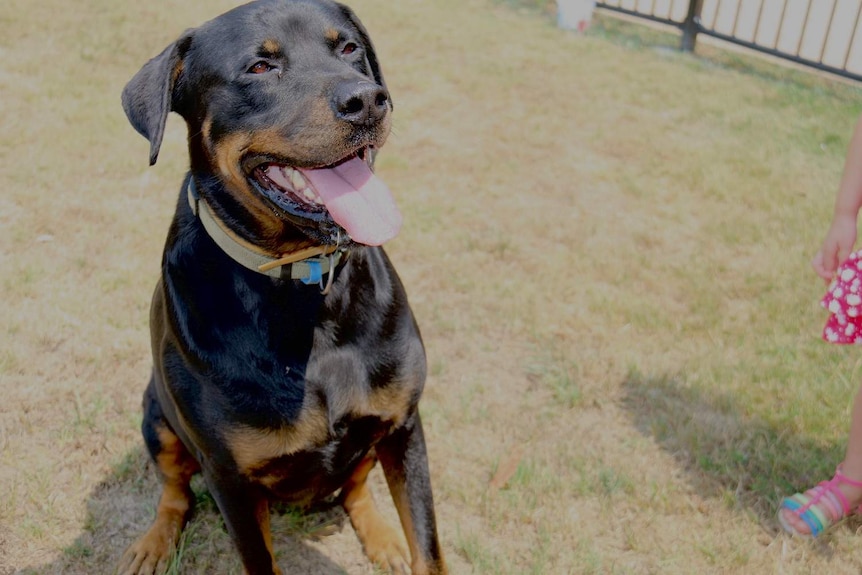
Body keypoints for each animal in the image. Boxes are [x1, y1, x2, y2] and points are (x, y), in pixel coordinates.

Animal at [116, 1, 446, 575]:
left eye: (349, 48)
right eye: (260, 67)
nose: (367, 101)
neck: (307, 290)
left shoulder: (404, 426)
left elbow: (428, 547)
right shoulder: (230, 478)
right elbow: (258, 556)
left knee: (356, 487)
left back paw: (381, 537)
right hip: (156, 417)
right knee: (174, 488)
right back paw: (154, 541)